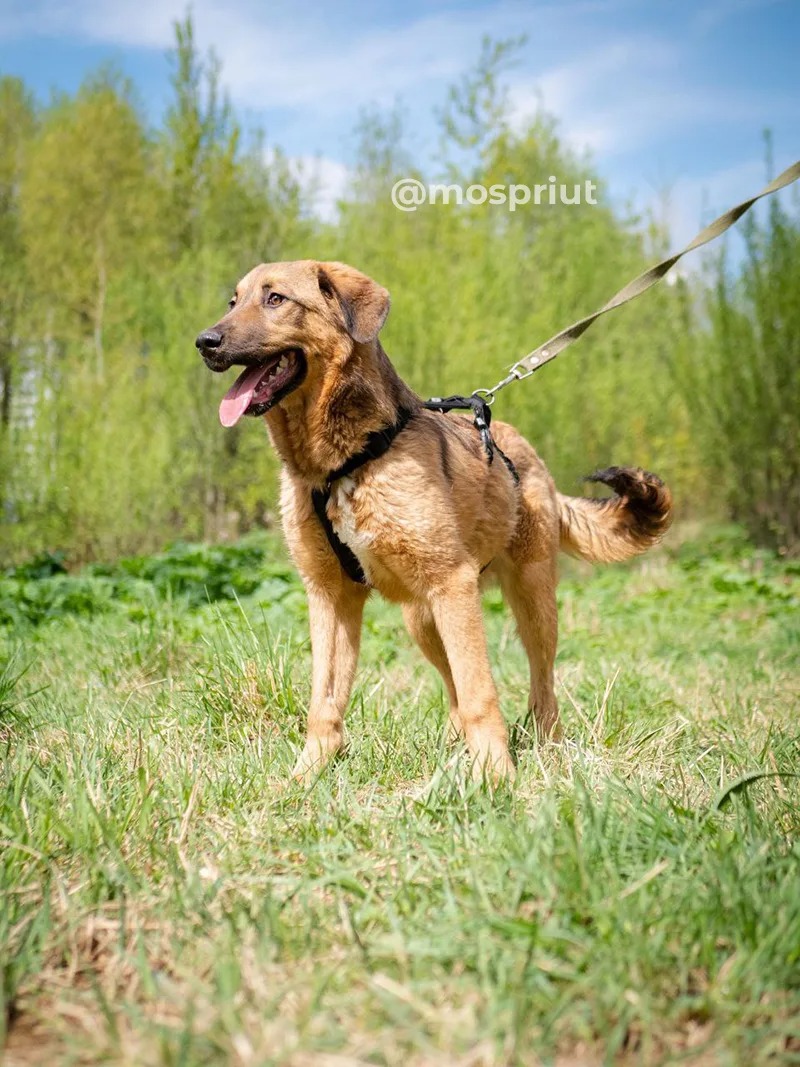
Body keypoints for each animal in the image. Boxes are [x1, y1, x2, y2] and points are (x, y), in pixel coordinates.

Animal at [197, 261, 674, 781]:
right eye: (233, 302)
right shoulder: (330, 597)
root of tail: (525, 450)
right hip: (422, 620)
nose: (205, 342)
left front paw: (496, 777)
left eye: (276, 299)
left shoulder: (452, 585)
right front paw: (307, 776)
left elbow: (480, 692)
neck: (343, 465)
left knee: (539, 684)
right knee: (452, 685)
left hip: (528, 603)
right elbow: (324, 701)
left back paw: (547, 749)